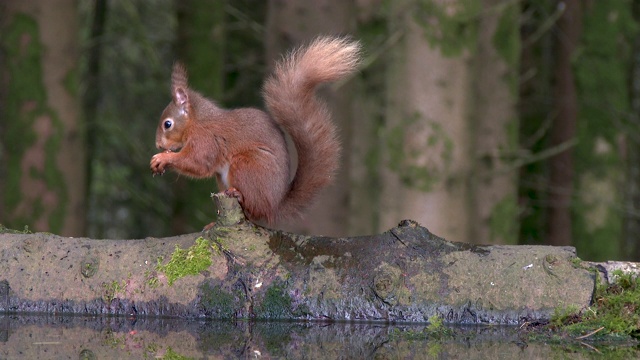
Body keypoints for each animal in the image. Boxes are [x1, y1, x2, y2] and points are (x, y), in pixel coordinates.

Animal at [149, 38, 360, 226]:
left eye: (167, 124)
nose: (158, 145)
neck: (198, 121)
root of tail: (274, 207)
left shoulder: (206, 139)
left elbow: (198, 162)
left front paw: (163, 158)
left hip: (246, 166)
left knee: (253, 208)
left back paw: (239, 195)